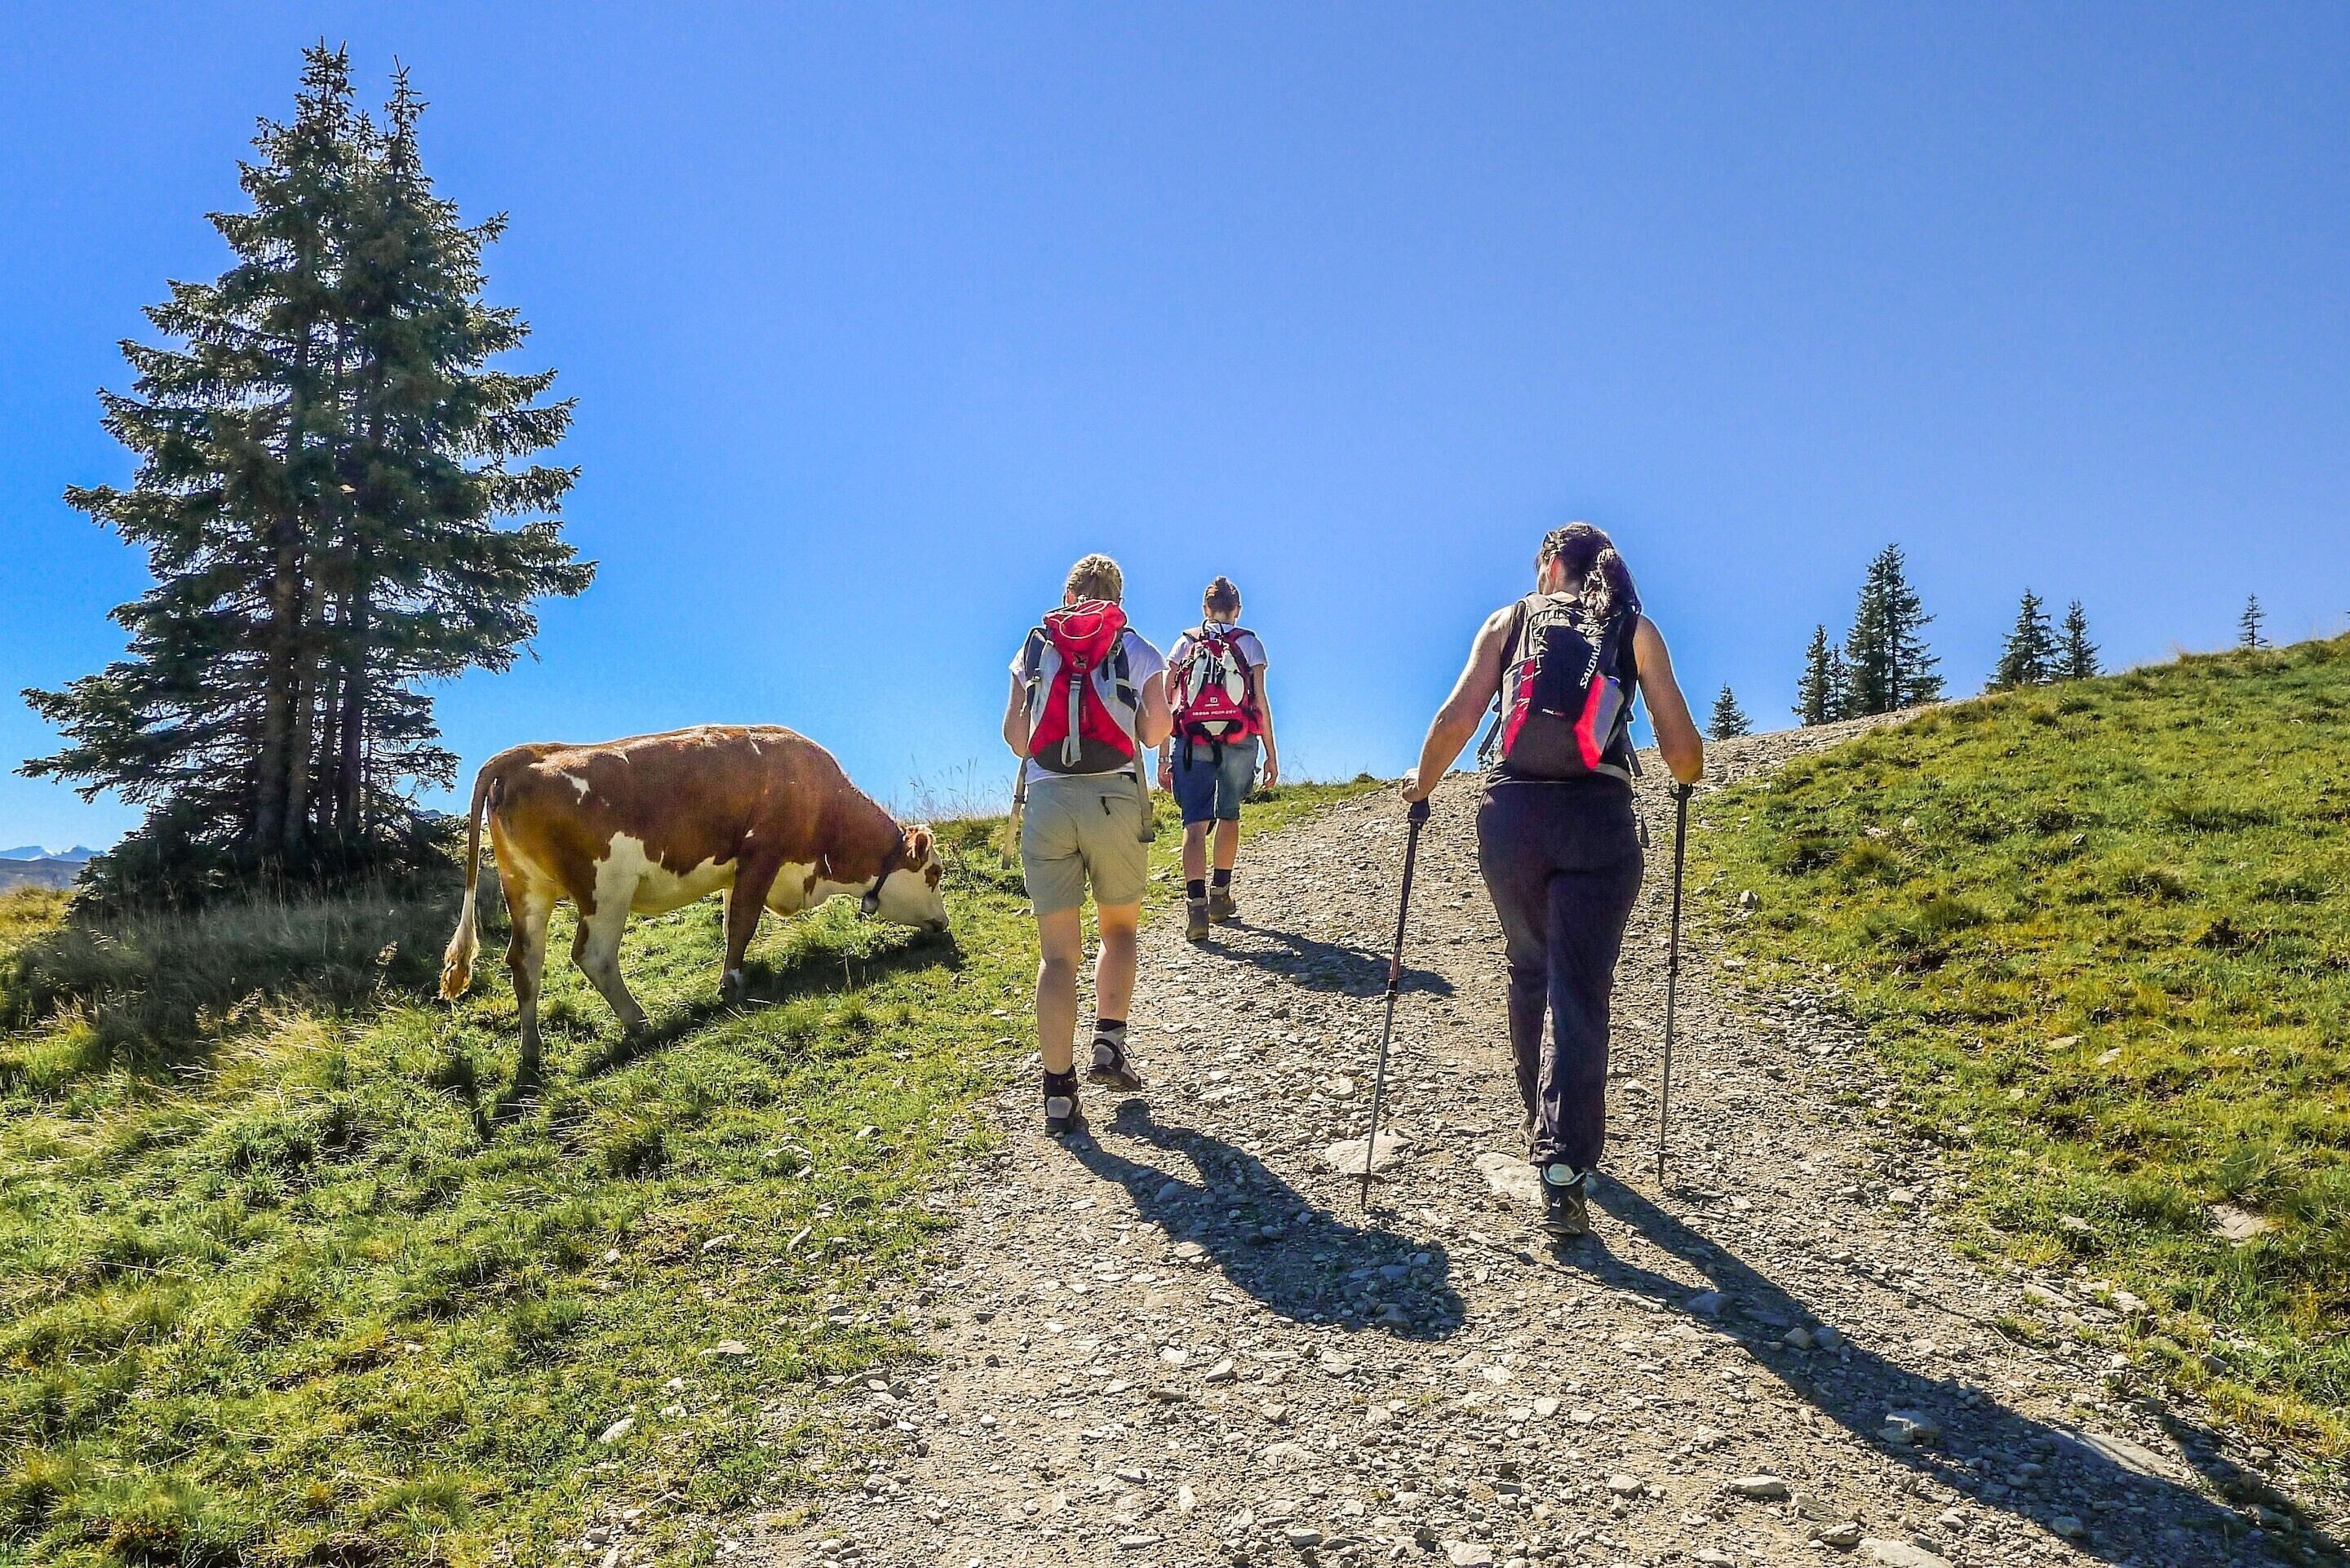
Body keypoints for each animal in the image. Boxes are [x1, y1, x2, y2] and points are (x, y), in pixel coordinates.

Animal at [438, 725, 950, 1064]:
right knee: (593, 954)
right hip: (606, 890)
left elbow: (729, 923)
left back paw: (531, 1049)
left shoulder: (738, 873)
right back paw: (638, 1022)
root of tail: (530, 754)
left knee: (524, 961)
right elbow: (743, 924)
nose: (944, 924)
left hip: (526, 891)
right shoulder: (762, 855)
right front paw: (732, 986)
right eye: (936, 872)